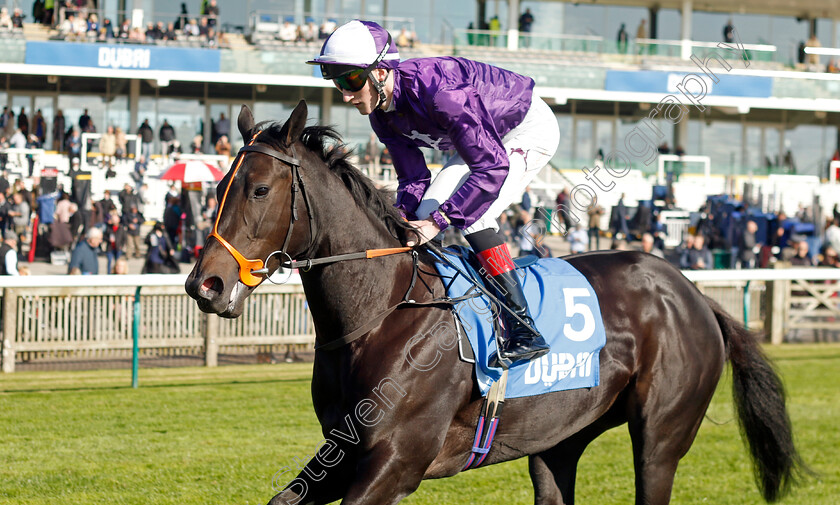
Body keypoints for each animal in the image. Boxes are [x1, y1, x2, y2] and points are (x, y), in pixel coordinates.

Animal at [187, 102, 804, 504]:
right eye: (216, 188)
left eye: (260, 190)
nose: (205, 284)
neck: (383, 313)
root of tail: (691, 292)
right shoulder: (343, 450)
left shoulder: (395, 460)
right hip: (559, 441)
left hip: (660, 440)